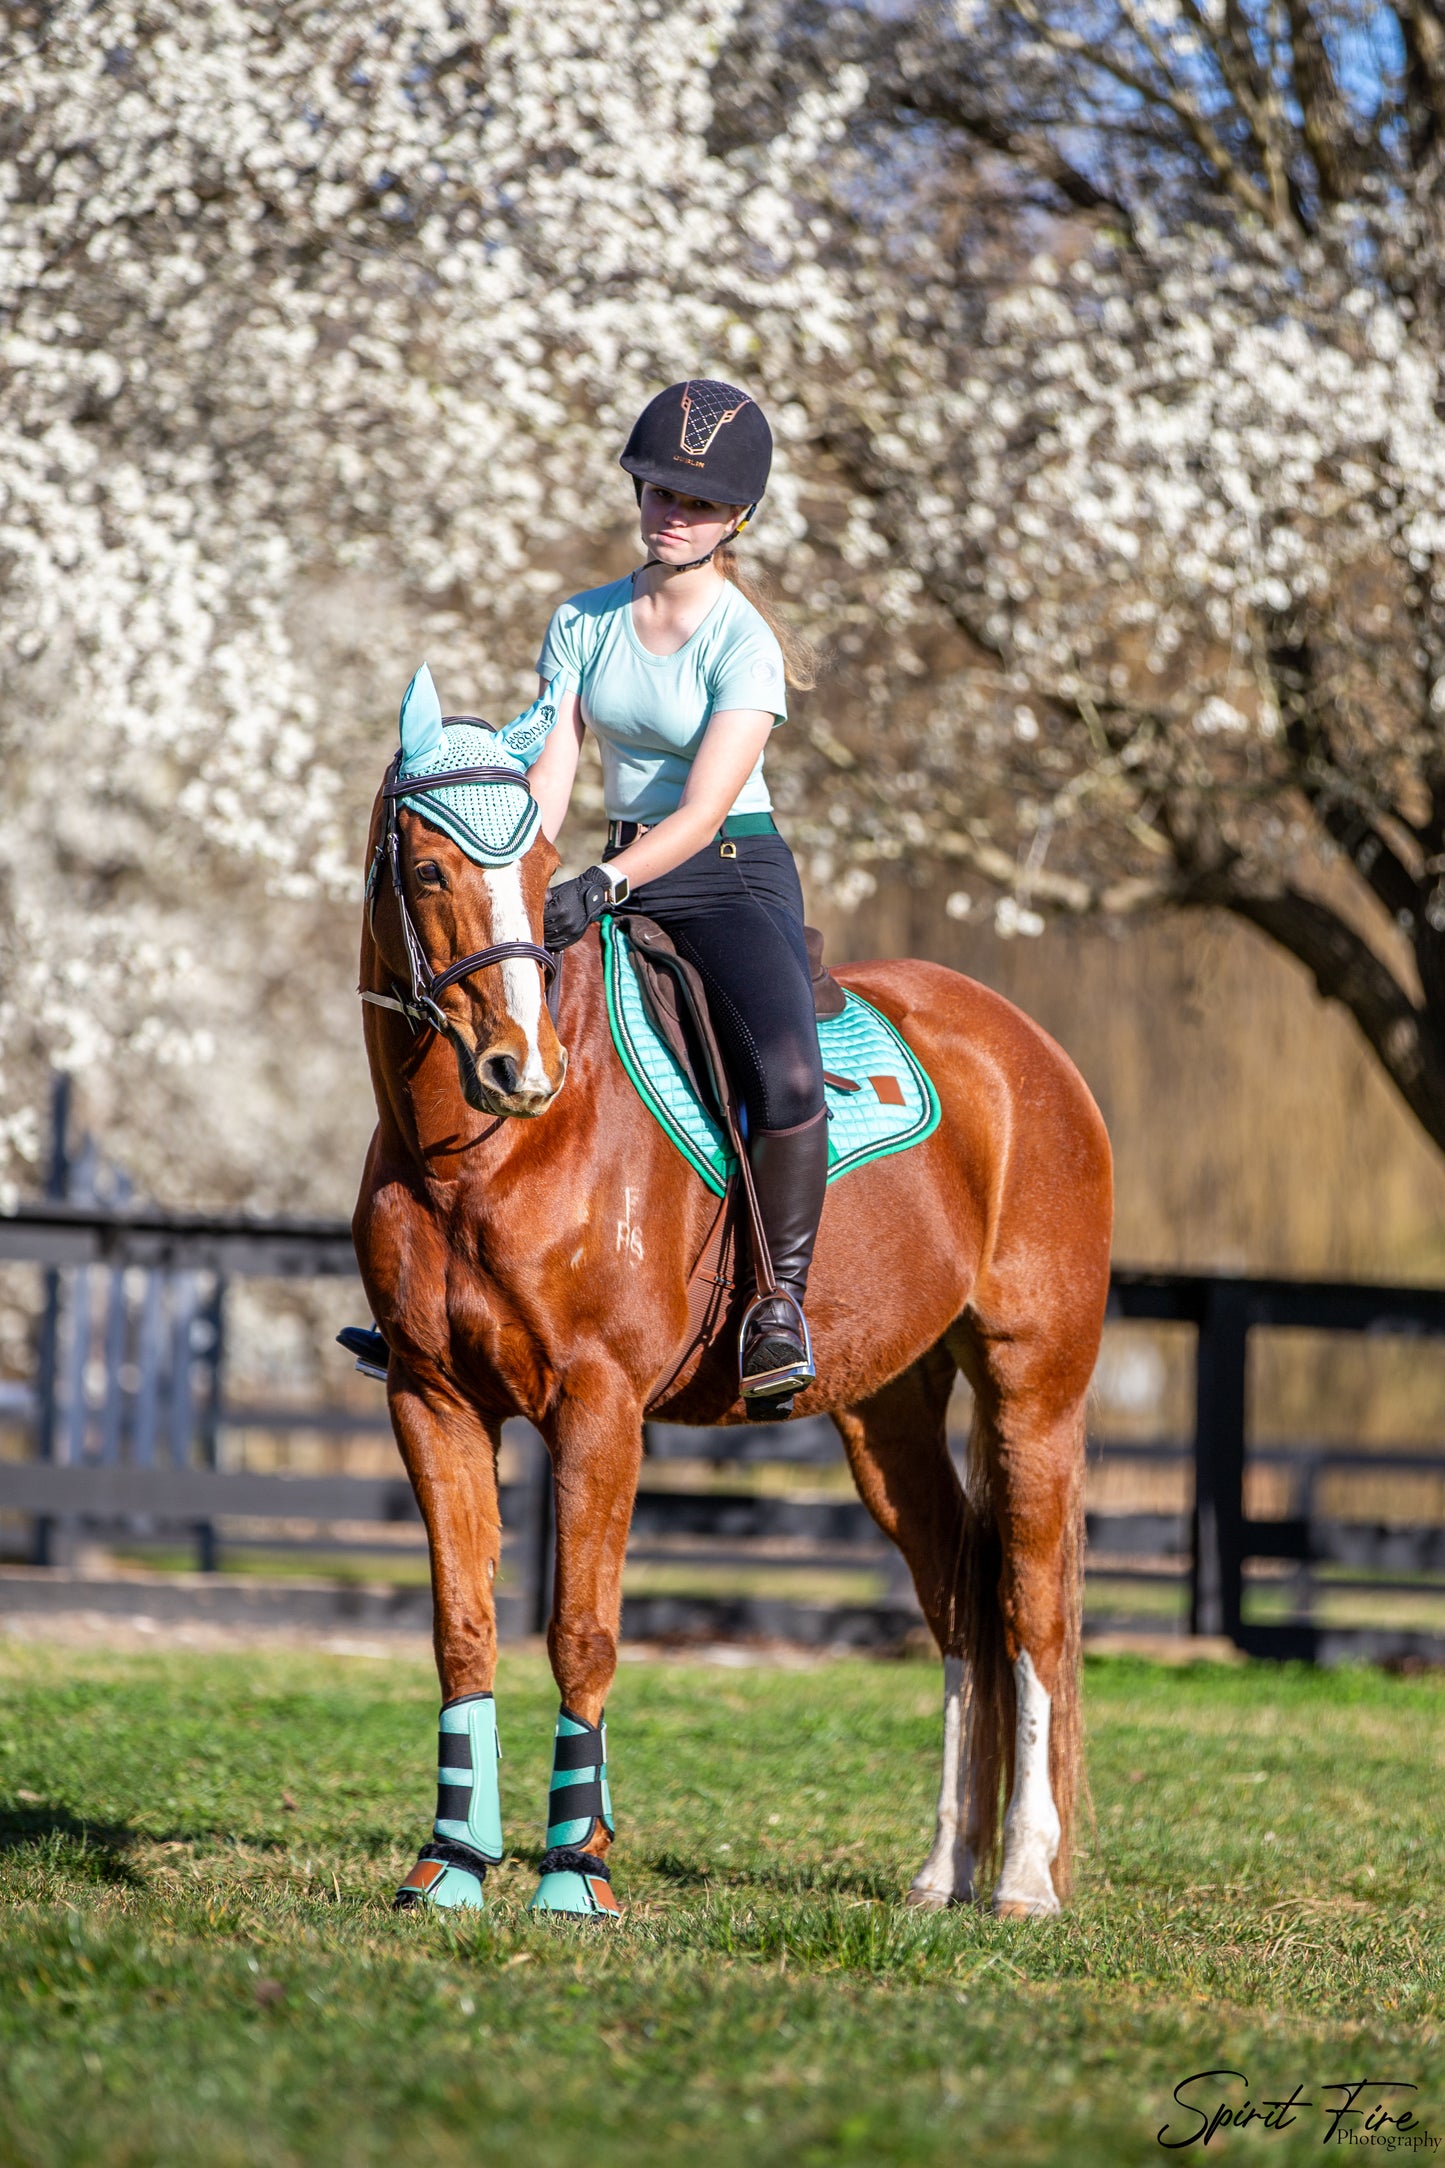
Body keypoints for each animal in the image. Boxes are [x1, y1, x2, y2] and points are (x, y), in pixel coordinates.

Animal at [355, 758, 1117, 1916]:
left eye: (541, 867)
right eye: (432, 870)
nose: (519, 1067)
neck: (488, 1157)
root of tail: (1027, 1049)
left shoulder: (600, 1409)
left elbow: (582, 1630)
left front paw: (576, 1870)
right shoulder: (429, 1398)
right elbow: (462, 1629)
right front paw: (452, 1862)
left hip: (1033, 1393)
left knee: (1030, 1612)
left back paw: (1024, 1874)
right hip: (886, 1416)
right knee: (959, 1608)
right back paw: (943, 1870)